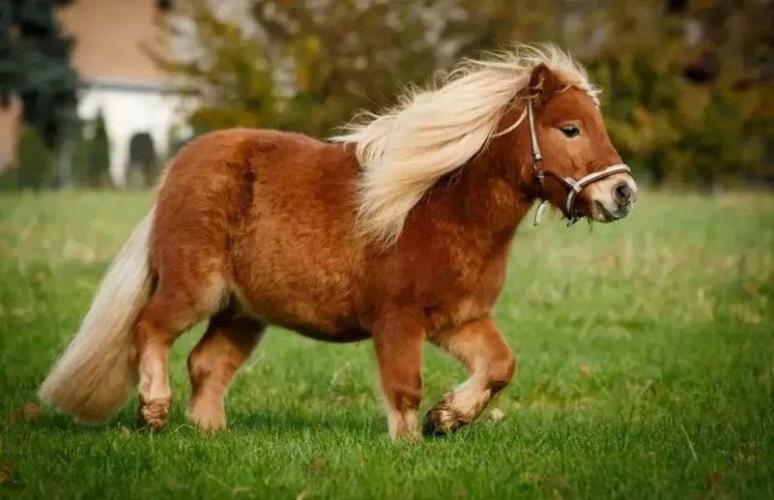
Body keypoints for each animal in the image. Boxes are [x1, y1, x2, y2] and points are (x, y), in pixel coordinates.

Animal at [38, 46, 638, 440]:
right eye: (569, 129)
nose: (623, 193)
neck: (438, 204)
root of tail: (180, 167)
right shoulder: (398, 321)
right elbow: (404, 388)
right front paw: (411, 443)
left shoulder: (460, 320)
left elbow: (500, 366)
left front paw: (448, 417)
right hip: (195, 289)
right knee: (150, 329)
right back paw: (154, 410)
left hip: (241, 312)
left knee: (207, 365)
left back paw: (211, 434)